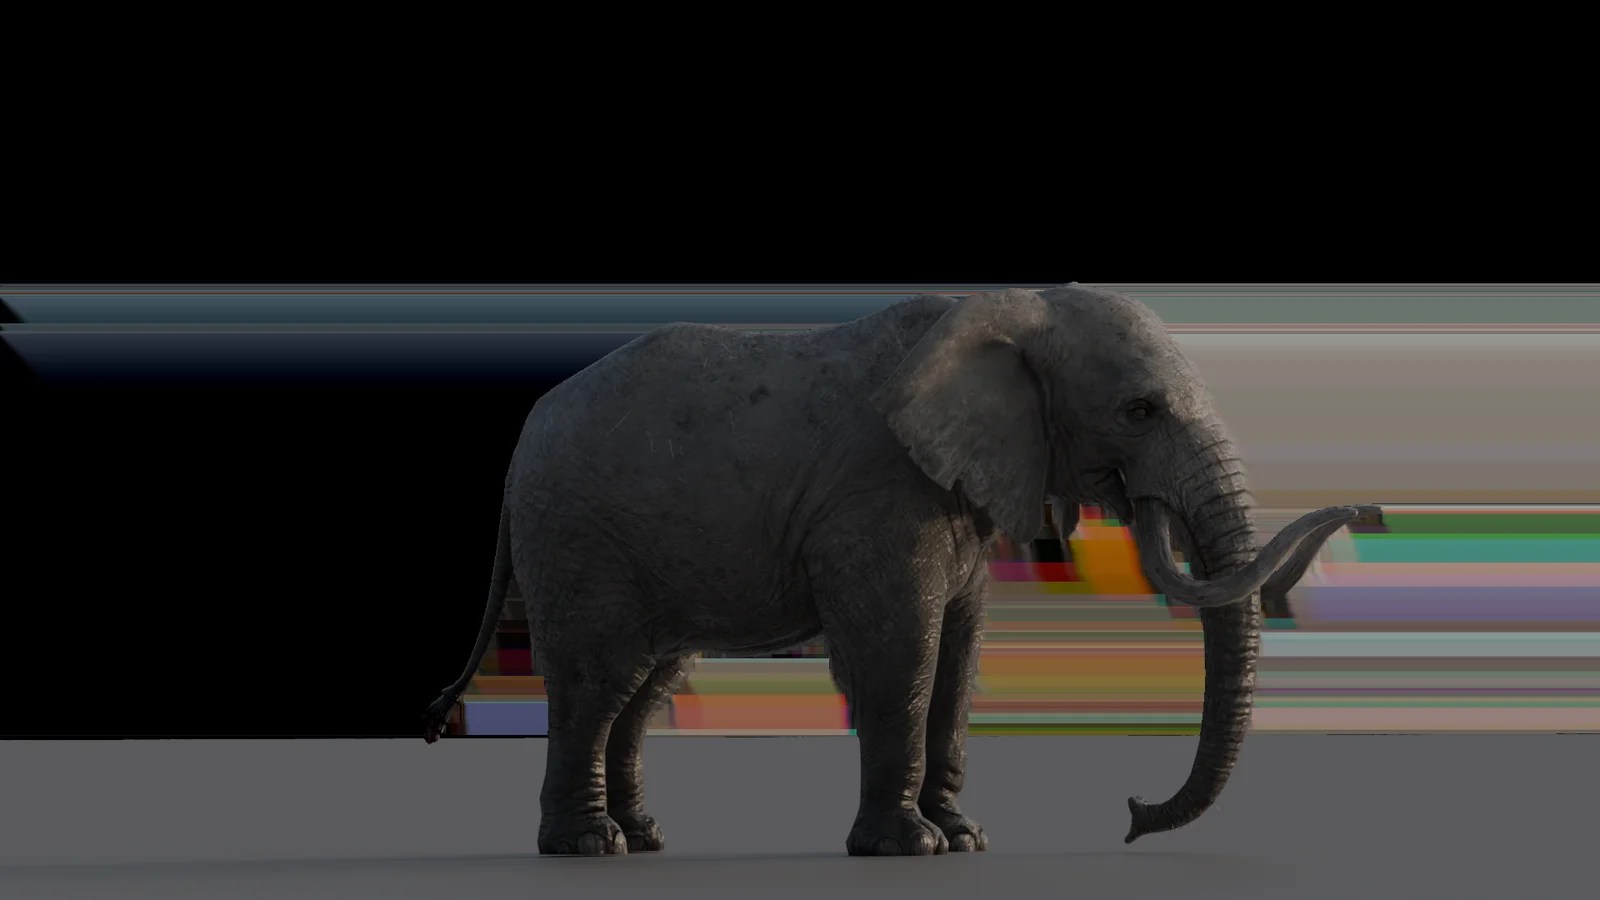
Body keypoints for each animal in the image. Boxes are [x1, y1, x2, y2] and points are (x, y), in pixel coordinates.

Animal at [422, 284, 1379, 857]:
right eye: (1139, 411)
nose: (1133, 816)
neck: (1010, 308)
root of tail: (527, 434)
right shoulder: (878, 496)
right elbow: (903, 653)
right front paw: (909, 846)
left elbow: (960, 656)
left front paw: (964, 837)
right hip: (576, 532)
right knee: (600, 678)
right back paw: (589, 846)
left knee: (647, 684)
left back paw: (646, 837)